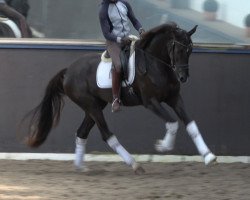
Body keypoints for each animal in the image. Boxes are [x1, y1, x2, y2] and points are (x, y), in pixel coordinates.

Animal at [24, 23, 218, 173]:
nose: (183, 77)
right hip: (91, 106)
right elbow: (172, 123)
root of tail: (68, 71)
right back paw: (135, 165)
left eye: (190, 49)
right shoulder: (151, 102)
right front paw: (163, 146)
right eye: (178, 48)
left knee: (82, 132)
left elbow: (191, 124)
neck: (156, 64)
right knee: (107, 134)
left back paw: (80, 167)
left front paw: (209, 156)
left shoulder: (175, 99)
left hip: (95, 106)